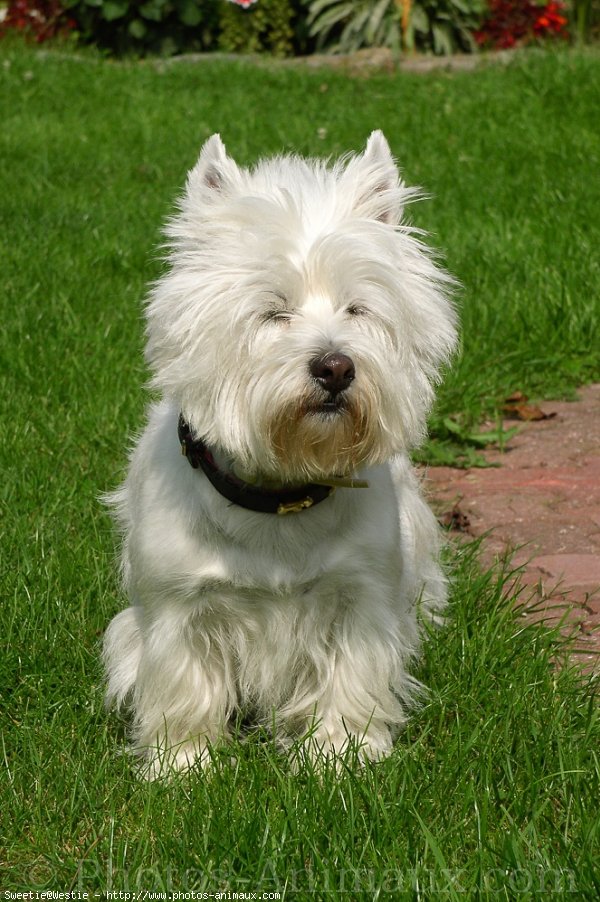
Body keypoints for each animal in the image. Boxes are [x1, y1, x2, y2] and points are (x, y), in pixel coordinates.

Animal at [103, 131, 458, 780]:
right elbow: (185, 685)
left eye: (358, 309)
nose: (336, 367)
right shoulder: (179, 605)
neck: (280, 495)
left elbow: (350, 678)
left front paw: (341, 756)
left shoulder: (358, 594)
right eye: (273, 310)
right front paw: (183, 766)